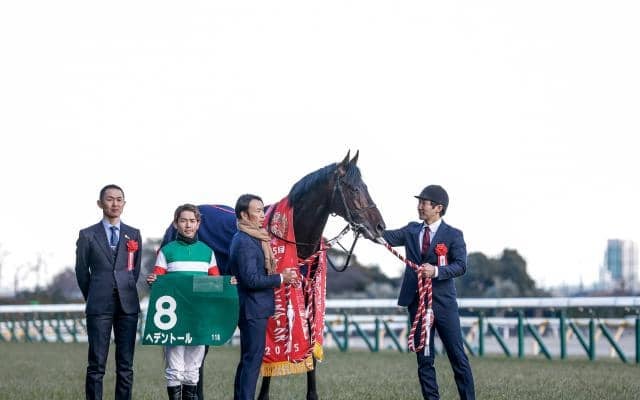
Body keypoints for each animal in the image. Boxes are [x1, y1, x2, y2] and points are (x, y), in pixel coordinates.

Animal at [162, 151, 386, 400]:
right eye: (353, 189)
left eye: (365, 187)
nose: (379, 227)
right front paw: (263, 395)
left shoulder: (307, 295)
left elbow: (308, 344)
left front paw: (312, 395)